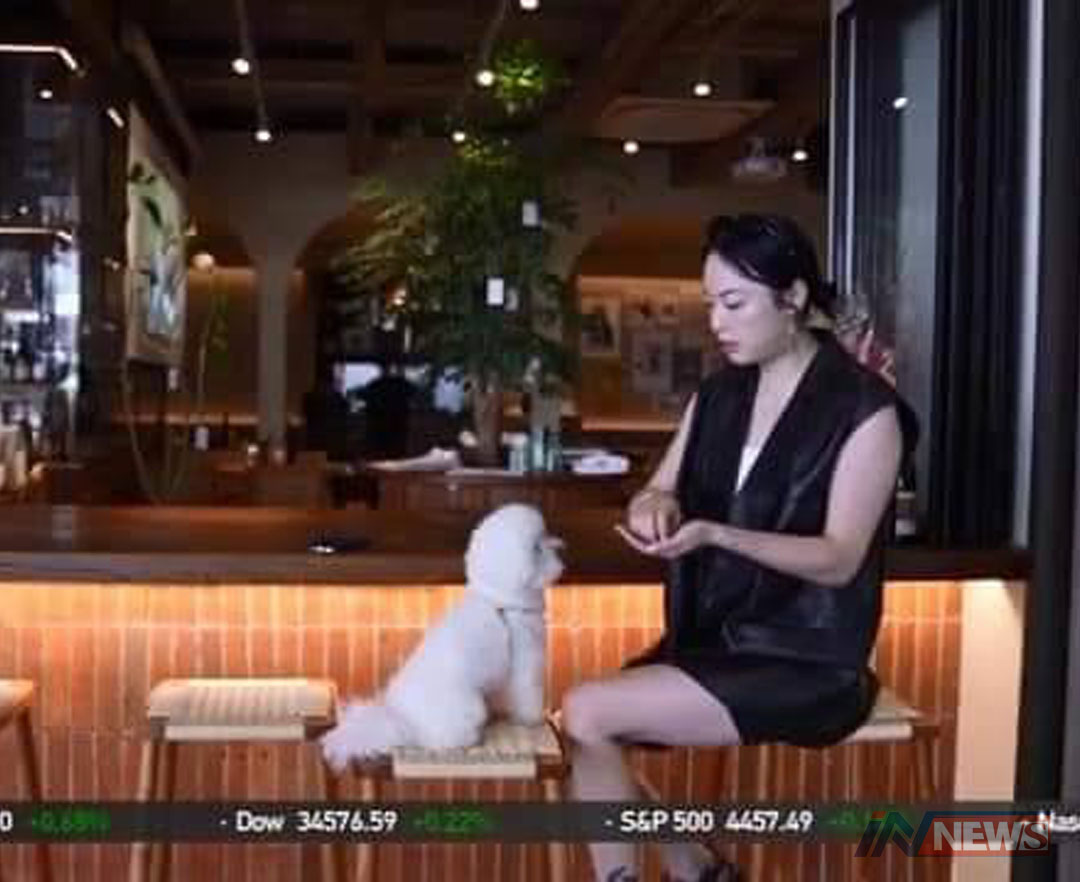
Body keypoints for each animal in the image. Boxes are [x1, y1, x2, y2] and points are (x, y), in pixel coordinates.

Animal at [321, 503, 564, 771]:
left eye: (544, 537)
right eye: (537, 547)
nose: (559, 545)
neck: (501, 601)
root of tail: (402, 721)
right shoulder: (525, 660)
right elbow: (527, 694)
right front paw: (532, 719)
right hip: (469, 708)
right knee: (442, 740)